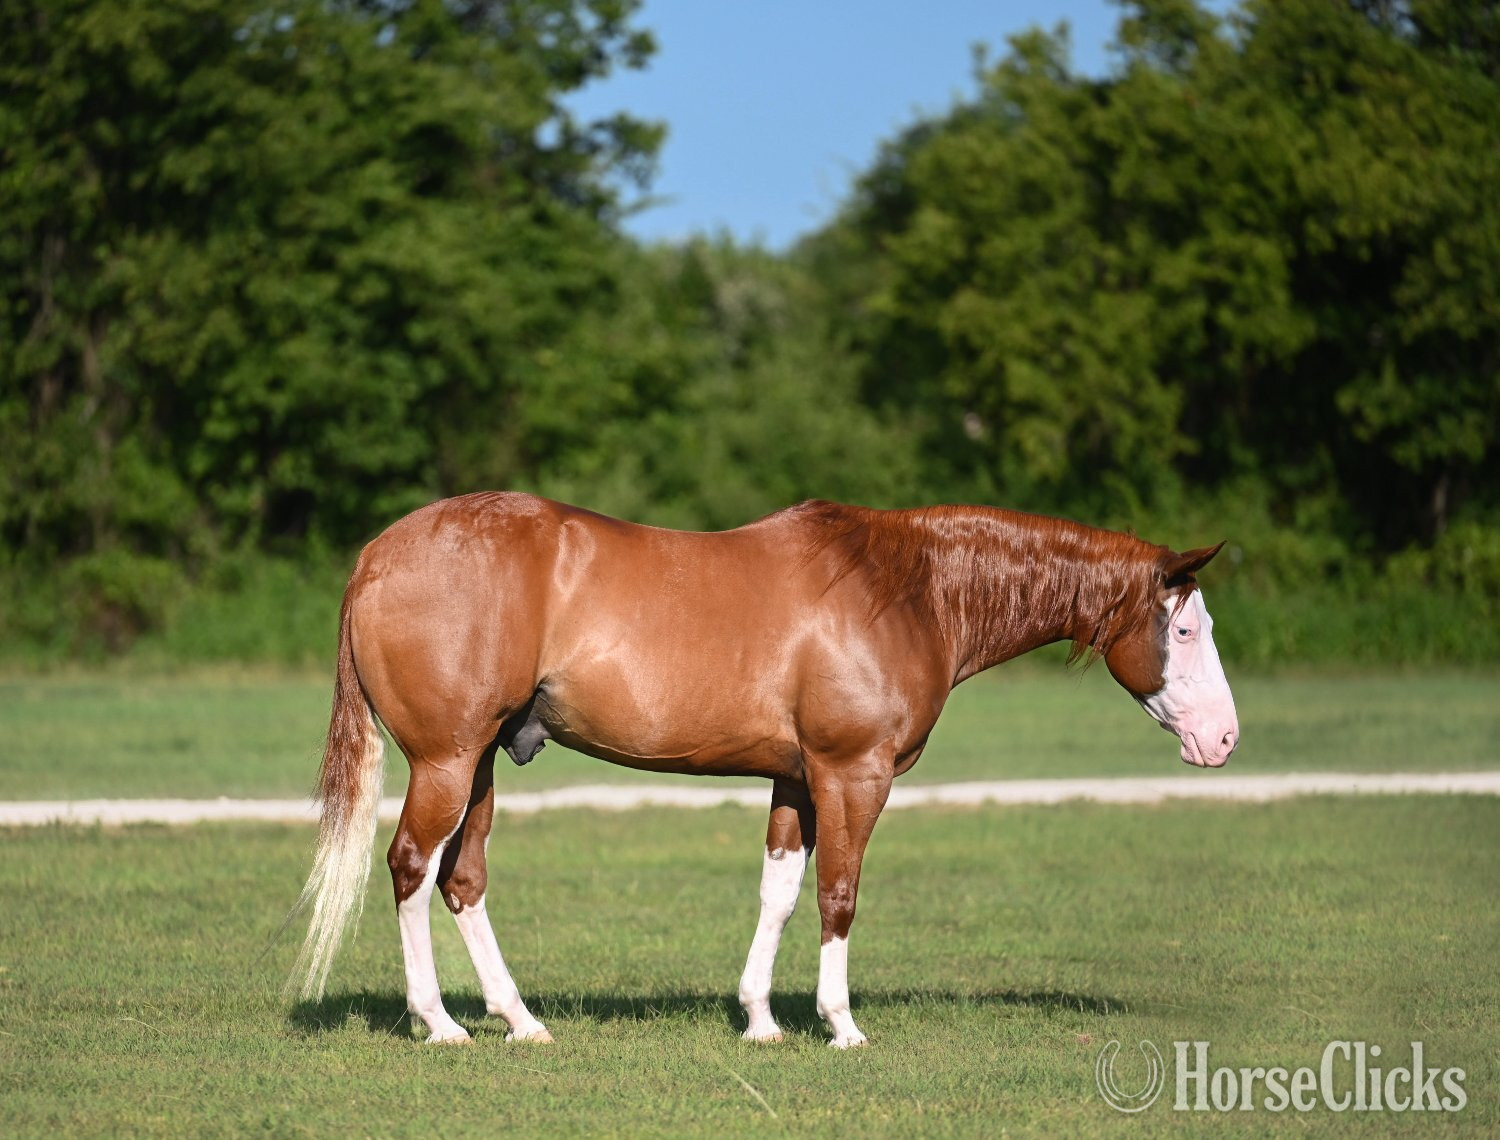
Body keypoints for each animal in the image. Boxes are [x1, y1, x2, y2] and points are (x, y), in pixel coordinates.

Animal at [290, 492, 1238, 1047]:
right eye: (1185, 629)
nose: (1225, 740)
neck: (906, 589)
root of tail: (378, 554)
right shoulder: (854, 775)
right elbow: (839, 896)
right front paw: (840, 1025)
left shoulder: (797, 780)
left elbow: (779, 893)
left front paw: (758, 1019)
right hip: (447, 763)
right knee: (411, 870)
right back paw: (439, 1022)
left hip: (481, 763)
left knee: (462, 881)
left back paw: (520, 1020)